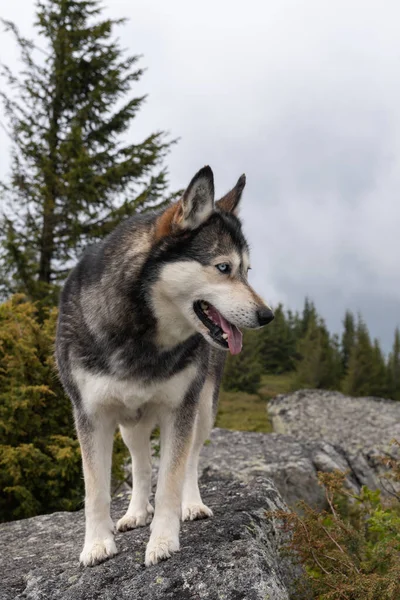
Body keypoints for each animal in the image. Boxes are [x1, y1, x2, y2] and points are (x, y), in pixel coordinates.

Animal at [55, 165, 276, 568]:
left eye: (247, 271)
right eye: (224, 267)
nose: (267, 315)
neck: (141, 336)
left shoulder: (180, 409)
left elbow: (171, 481)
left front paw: (162, 540)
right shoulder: (91, 415)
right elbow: (96, 490)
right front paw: (96, 544)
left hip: (203, 410)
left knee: (189, 460)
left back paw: (192, 504)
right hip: (130, 423)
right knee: (141, 464)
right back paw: (136, 511)